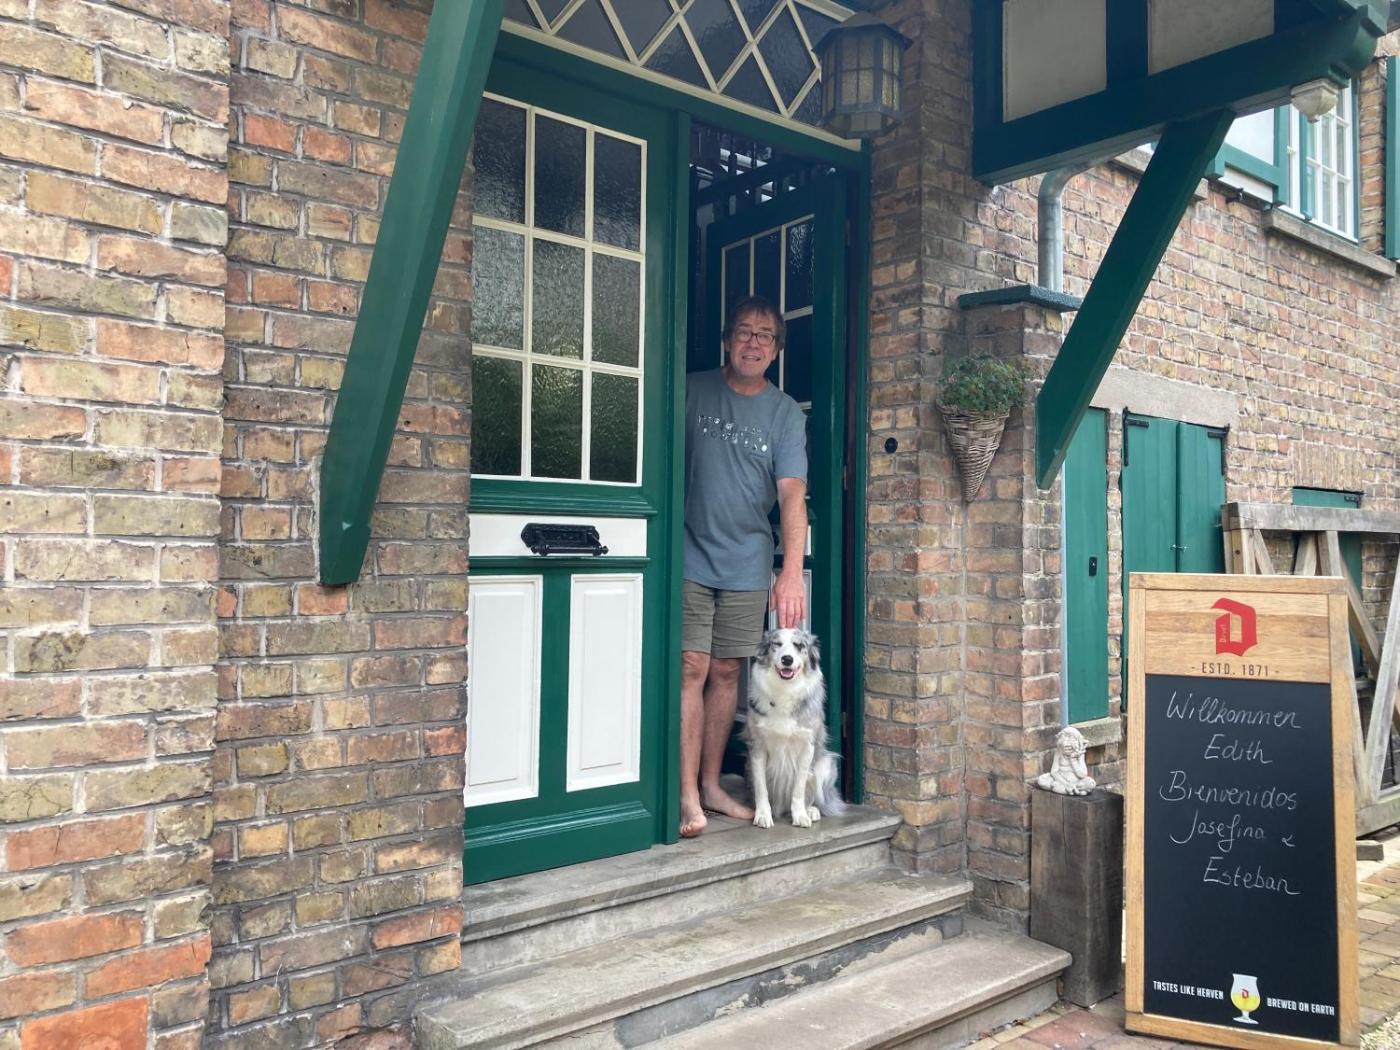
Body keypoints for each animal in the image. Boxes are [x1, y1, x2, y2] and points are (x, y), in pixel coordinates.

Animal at [743, 627, 844, 828]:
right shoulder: (757, 747)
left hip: (827, 763)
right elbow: (761, 788)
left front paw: (800, 815)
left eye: (799, 646)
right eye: (777, 644)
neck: (785, 689)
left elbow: (799, 788)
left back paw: (811, 811)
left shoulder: (807, 747)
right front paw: (763, 815)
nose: (787, 659)